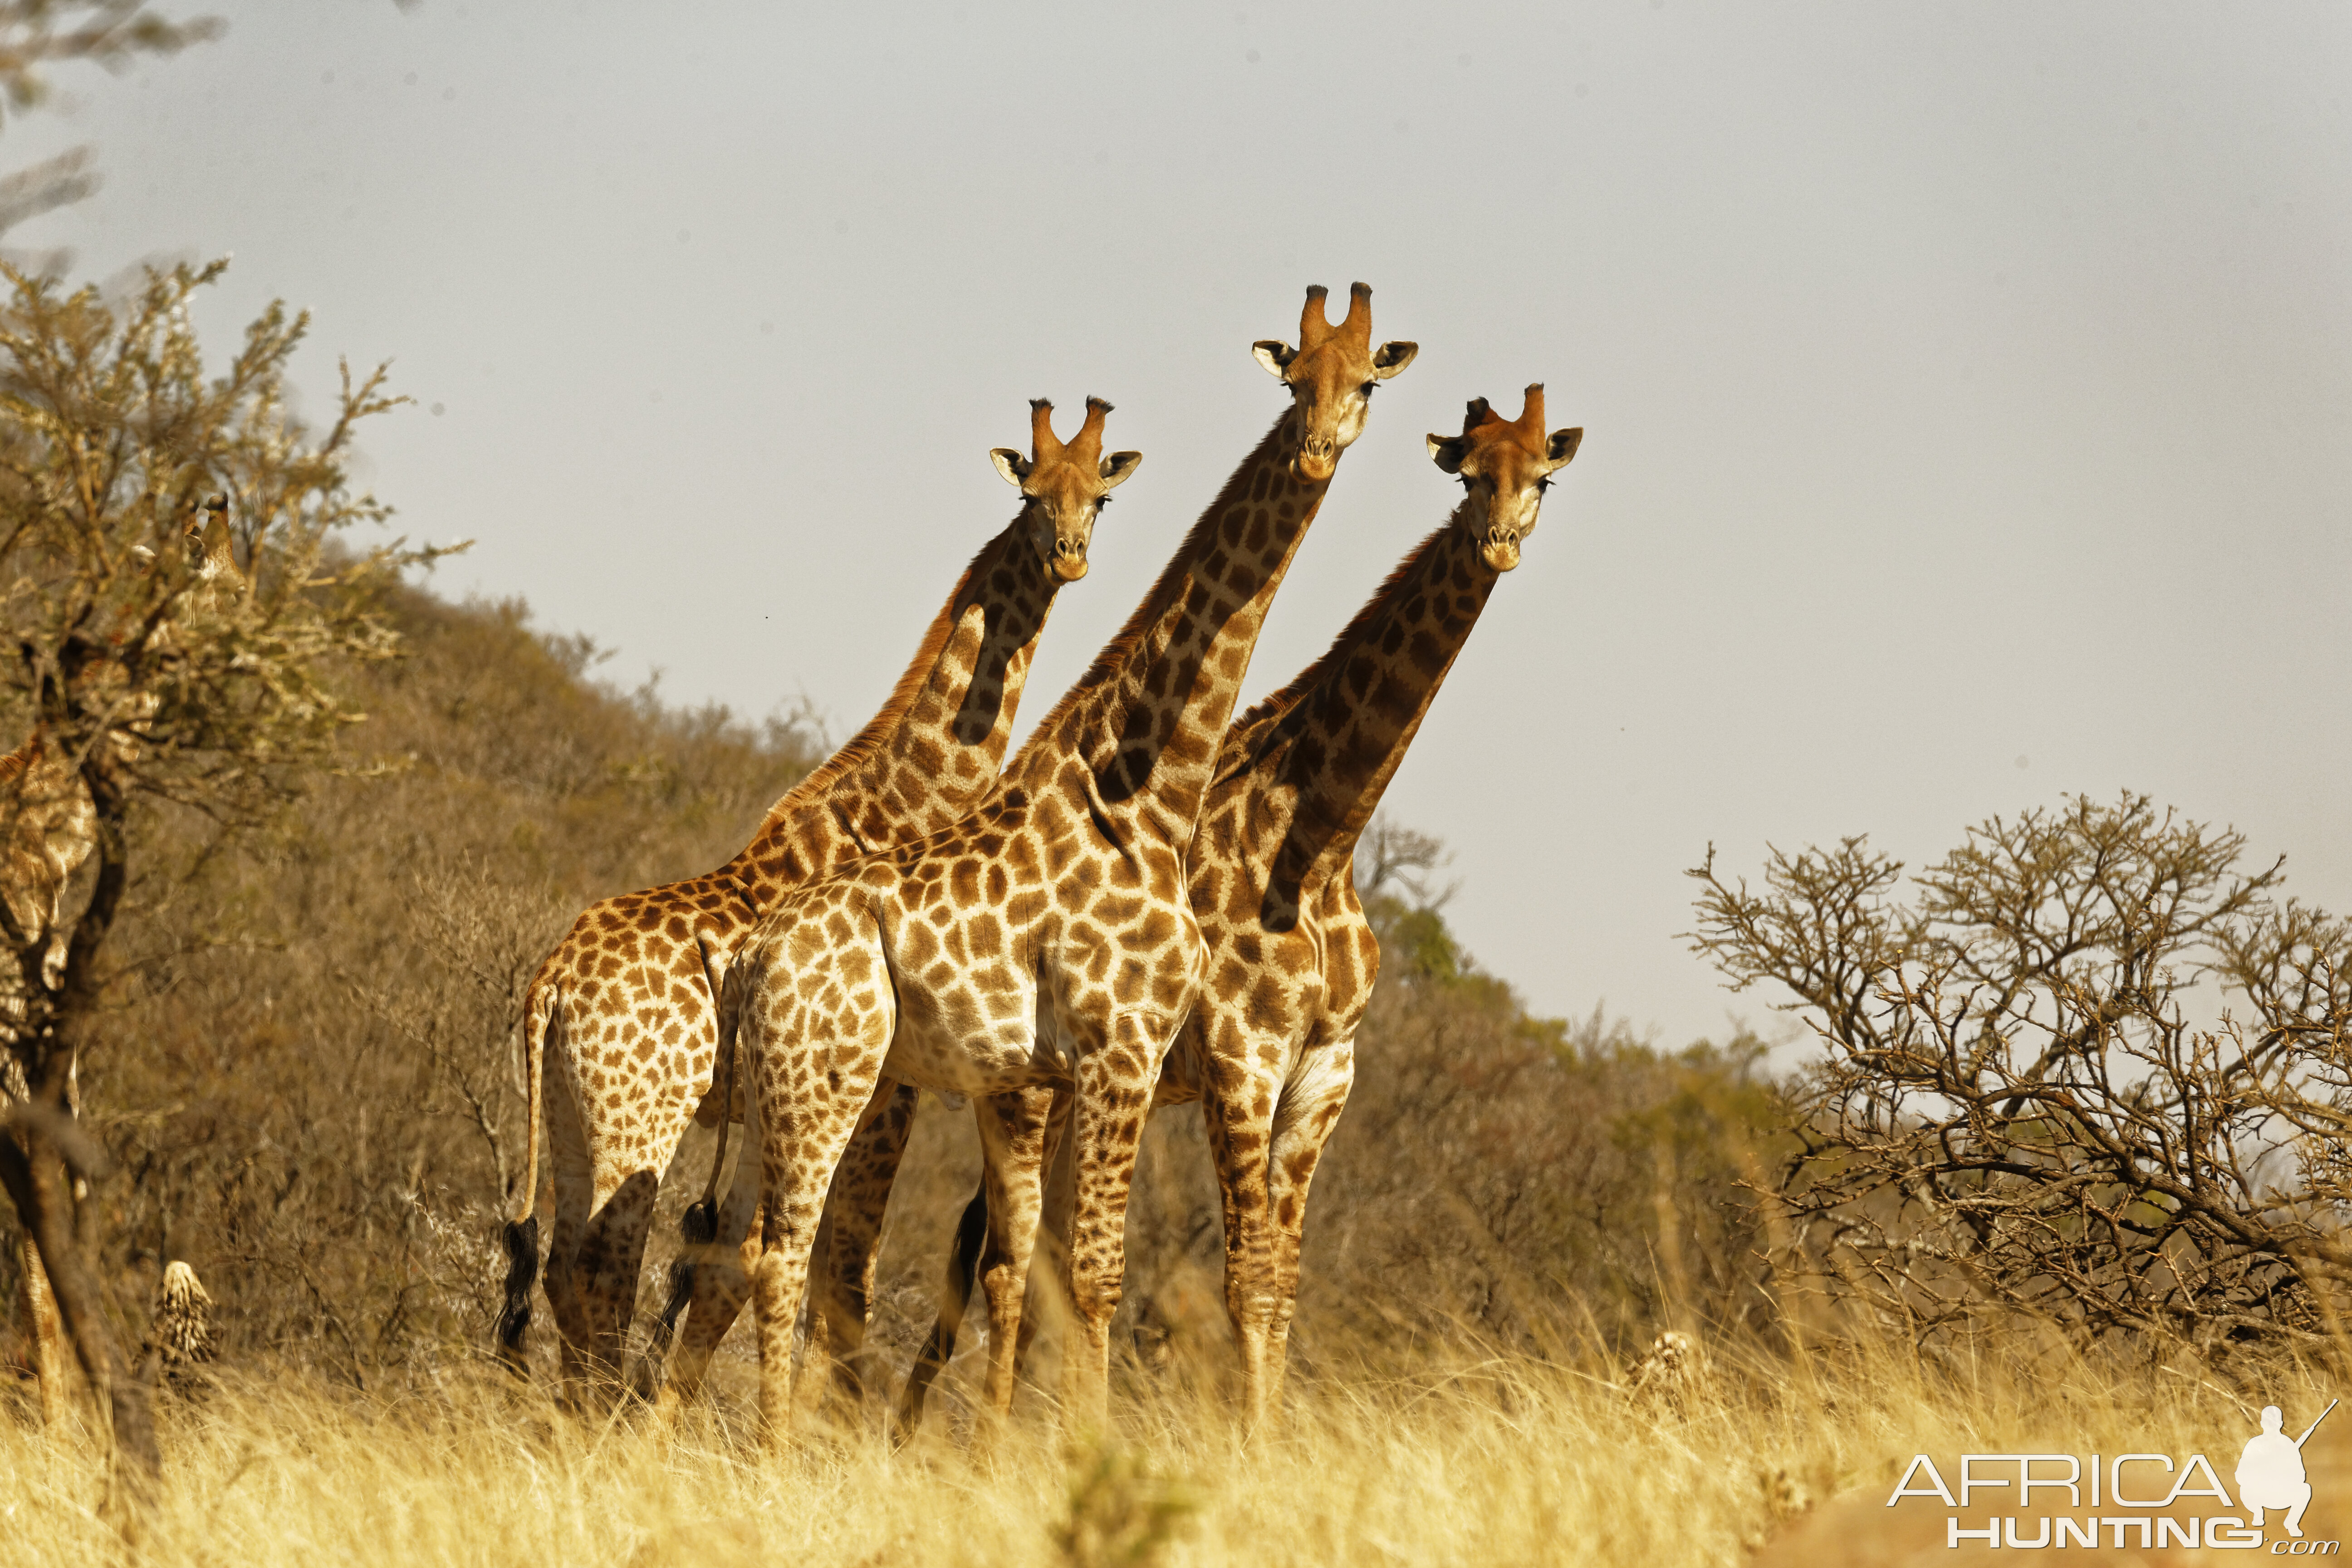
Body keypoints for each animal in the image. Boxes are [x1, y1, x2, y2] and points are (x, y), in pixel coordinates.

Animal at [496, 395, 1138, 1401]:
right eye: (1031, 494)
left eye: (1098, 498)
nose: (1068, 556)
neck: (901, 804)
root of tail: (549, 983)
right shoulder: (885, 1095)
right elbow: (828, 1270)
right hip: (640, 1113)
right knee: (601, 1267)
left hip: (567, 1105)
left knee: (563, 1270)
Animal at [668, 282, 1411, 1439]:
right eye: (1294, 378)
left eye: (1367, 381)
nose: (1318, 448)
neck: (1149, 797)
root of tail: (750, 957)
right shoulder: (1122, 1050)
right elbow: (1095, 1276)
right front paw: (1077, 1451)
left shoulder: (1087, 1069)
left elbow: (1048, 1270)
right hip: (829, 1078)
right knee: (781, 1252)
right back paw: (780, 1450)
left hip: (799, 1088)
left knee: (746, 1252)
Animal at [889, 385, 1590, 1439]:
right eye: (1469, 477)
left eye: (1540, 478)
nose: (1499, 542)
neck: (1322, 840)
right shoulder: (1238, 1056)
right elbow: (1247, 1281)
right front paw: (1251, 1449)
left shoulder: (1326, 1069)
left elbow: (1283, 1283)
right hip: (1035, 1086)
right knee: (999, 1255)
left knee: (1020, 1249)